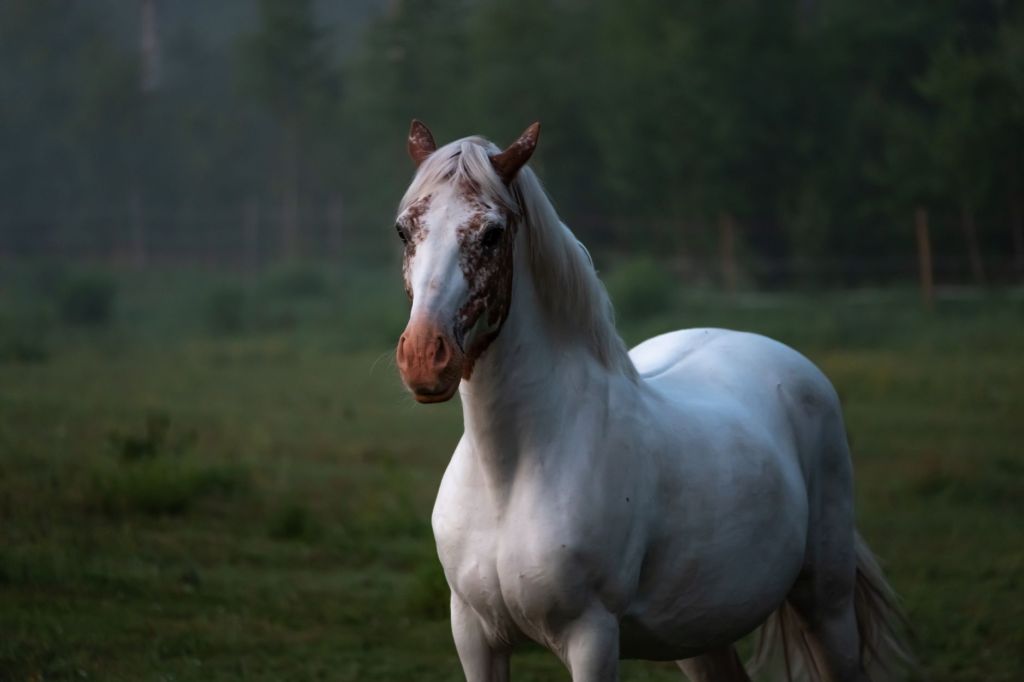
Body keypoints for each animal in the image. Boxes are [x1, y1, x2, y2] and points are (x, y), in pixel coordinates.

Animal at [391, 120, 912, 682]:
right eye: (404, 230)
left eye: (492, 234)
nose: (423, 357)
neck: (510, 474)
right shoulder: (474, 637)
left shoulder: (592, 637)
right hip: (700, 631)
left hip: (827, 602)